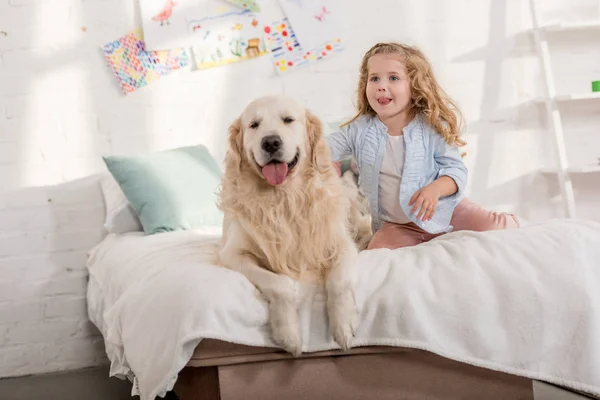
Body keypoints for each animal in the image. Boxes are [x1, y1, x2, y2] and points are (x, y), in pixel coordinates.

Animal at [218, 95, 372, 354]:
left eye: (288, 120)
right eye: (254, 125)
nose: (271, 142)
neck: (283, 197)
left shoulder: (340, 243)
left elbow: (338, 280)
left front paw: (343, 324)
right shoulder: (232, 254)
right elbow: (279, 284)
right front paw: (288, 333)